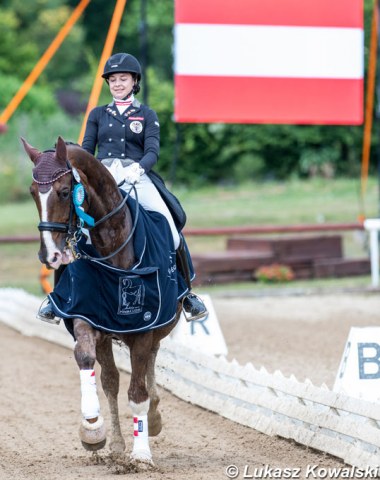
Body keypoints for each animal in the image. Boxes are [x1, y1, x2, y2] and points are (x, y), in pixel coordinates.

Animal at [21, 137, 181, 466]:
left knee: (149, 365)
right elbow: (86, 360)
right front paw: (92, 428)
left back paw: (152, 419)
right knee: (110, 381)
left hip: (158, 326)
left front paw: (142, 454)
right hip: (108, 336)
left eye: (64, 191)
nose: (50, 255)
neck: (110, 241)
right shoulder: (87, 316)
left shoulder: (145, 324)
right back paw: (119, 444)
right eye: (32, 192)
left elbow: (137, 393)